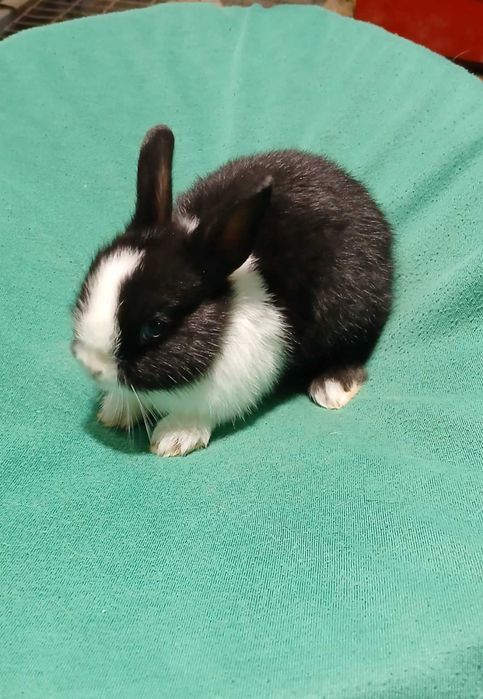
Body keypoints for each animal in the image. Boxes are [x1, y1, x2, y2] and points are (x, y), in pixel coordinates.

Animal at [72, 125, 392, 457]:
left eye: (156, 326)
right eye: (87, 287)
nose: (92, 367)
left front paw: (174, 438)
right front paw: (114, 411)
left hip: (352, 311)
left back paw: (332, 385)